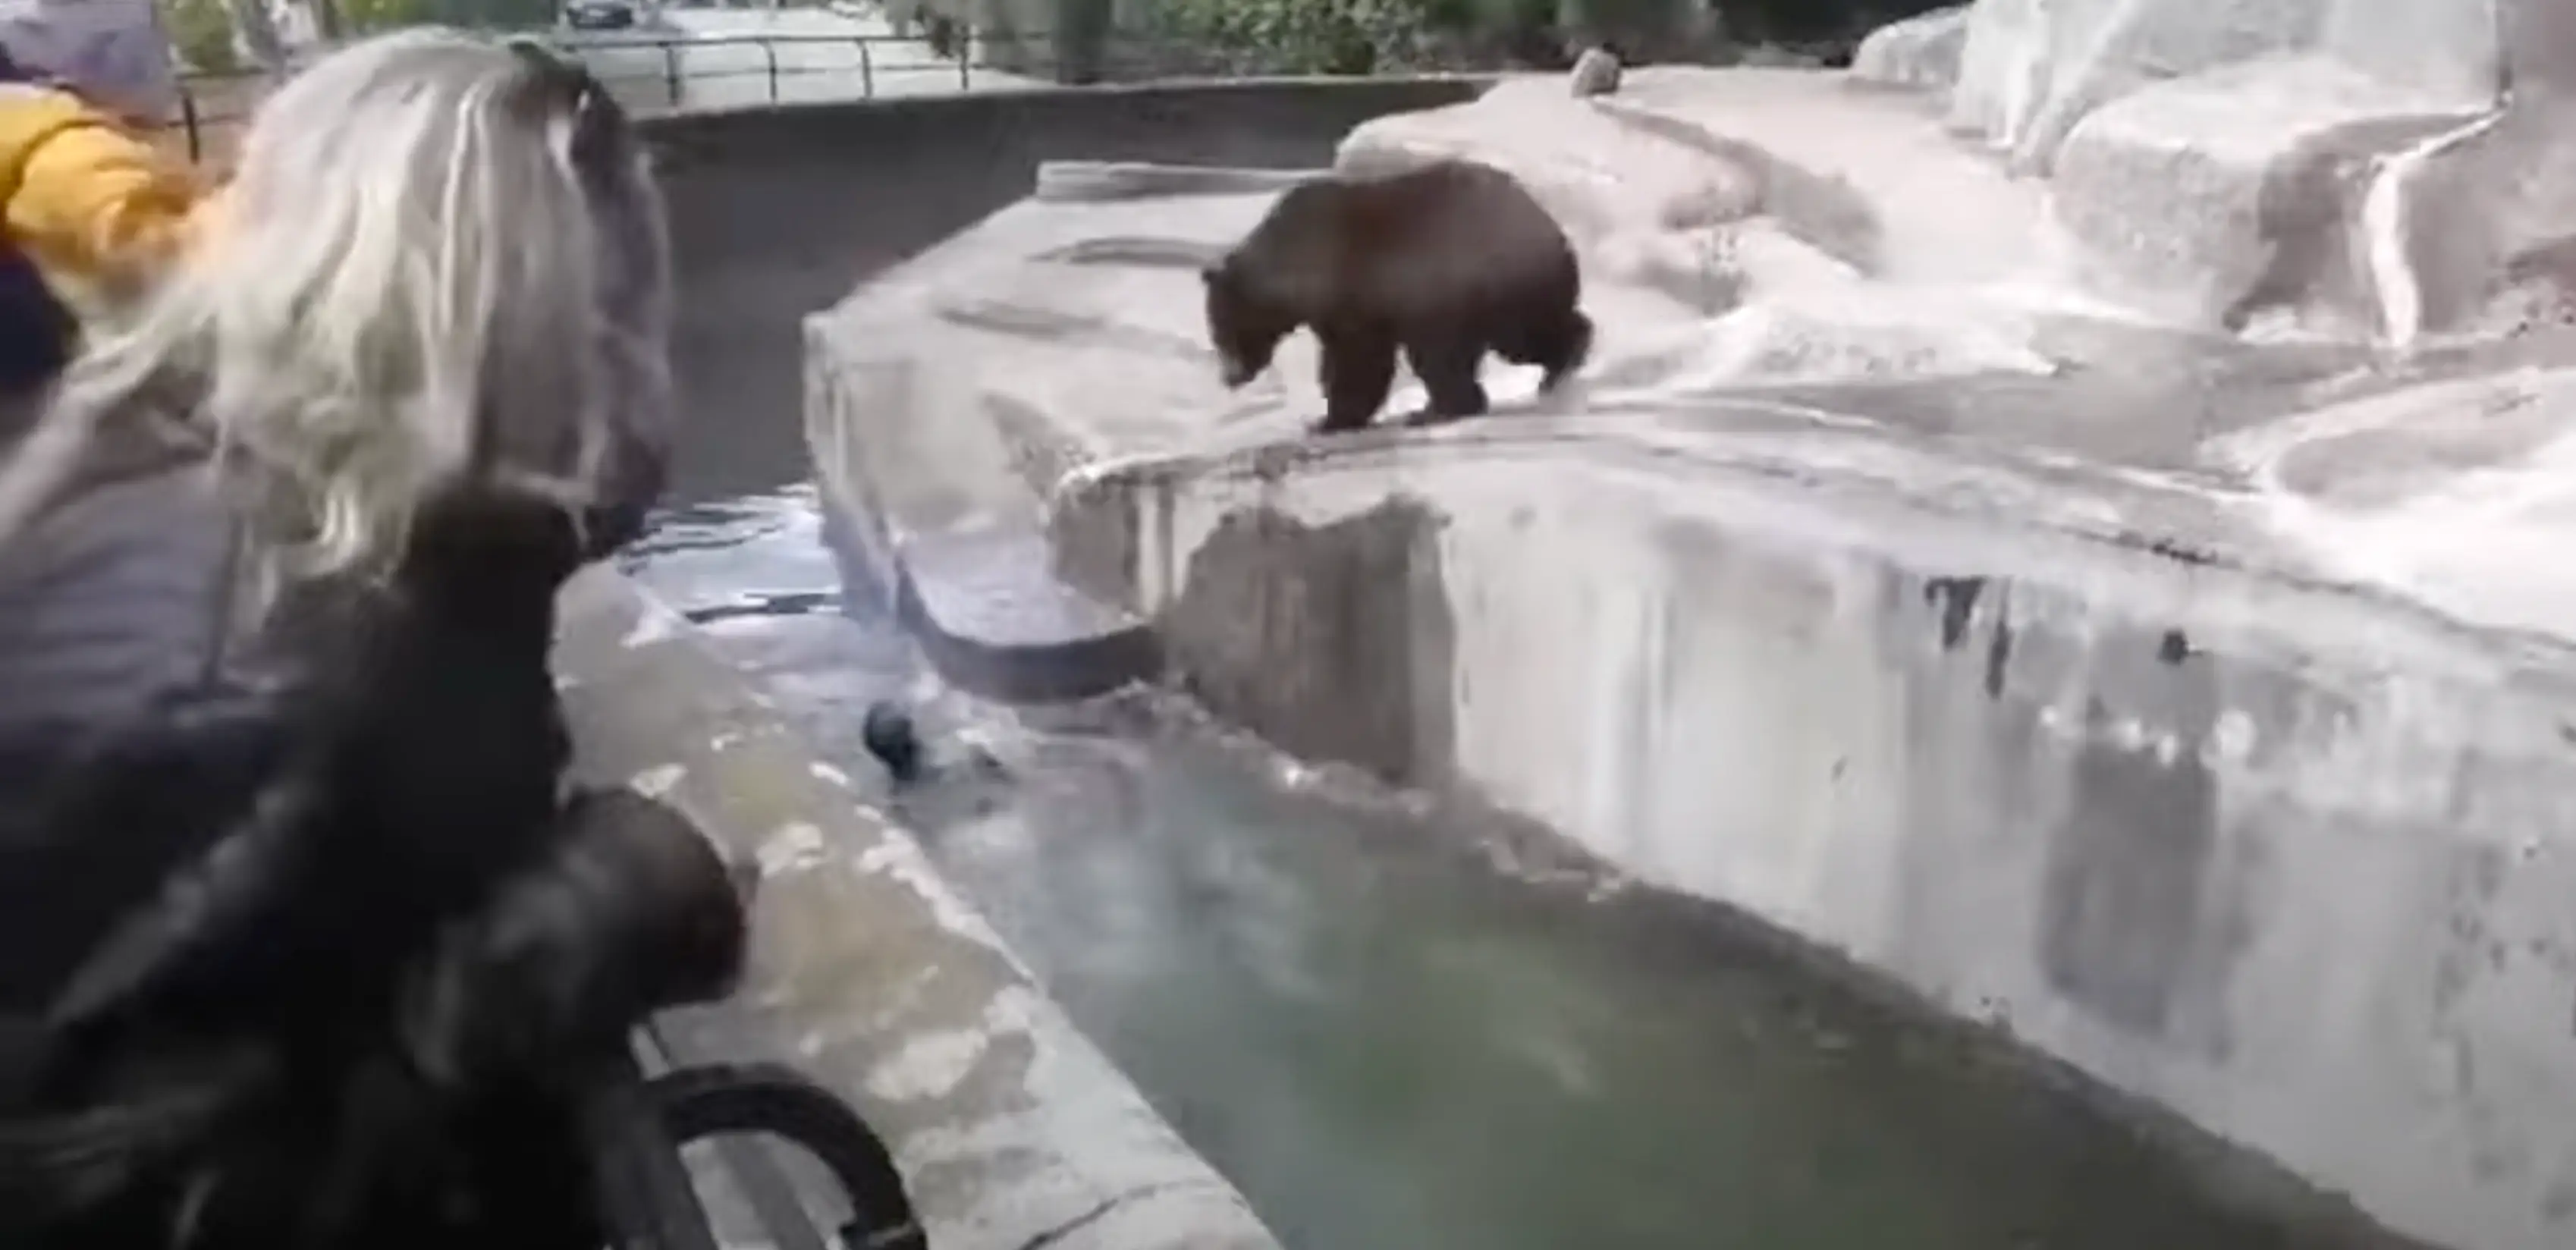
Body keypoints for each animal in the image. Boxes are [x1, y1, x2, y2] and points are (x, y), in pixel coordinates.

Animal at [1199, 158, 1594, 436]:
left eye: (1221, 329)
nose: (1229, 377)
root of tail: (1552, 228)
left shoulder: (1353, 289)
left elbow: (1357, 360)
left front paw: (1328, 420)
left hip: (1481, 280)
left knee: (1505, 340)